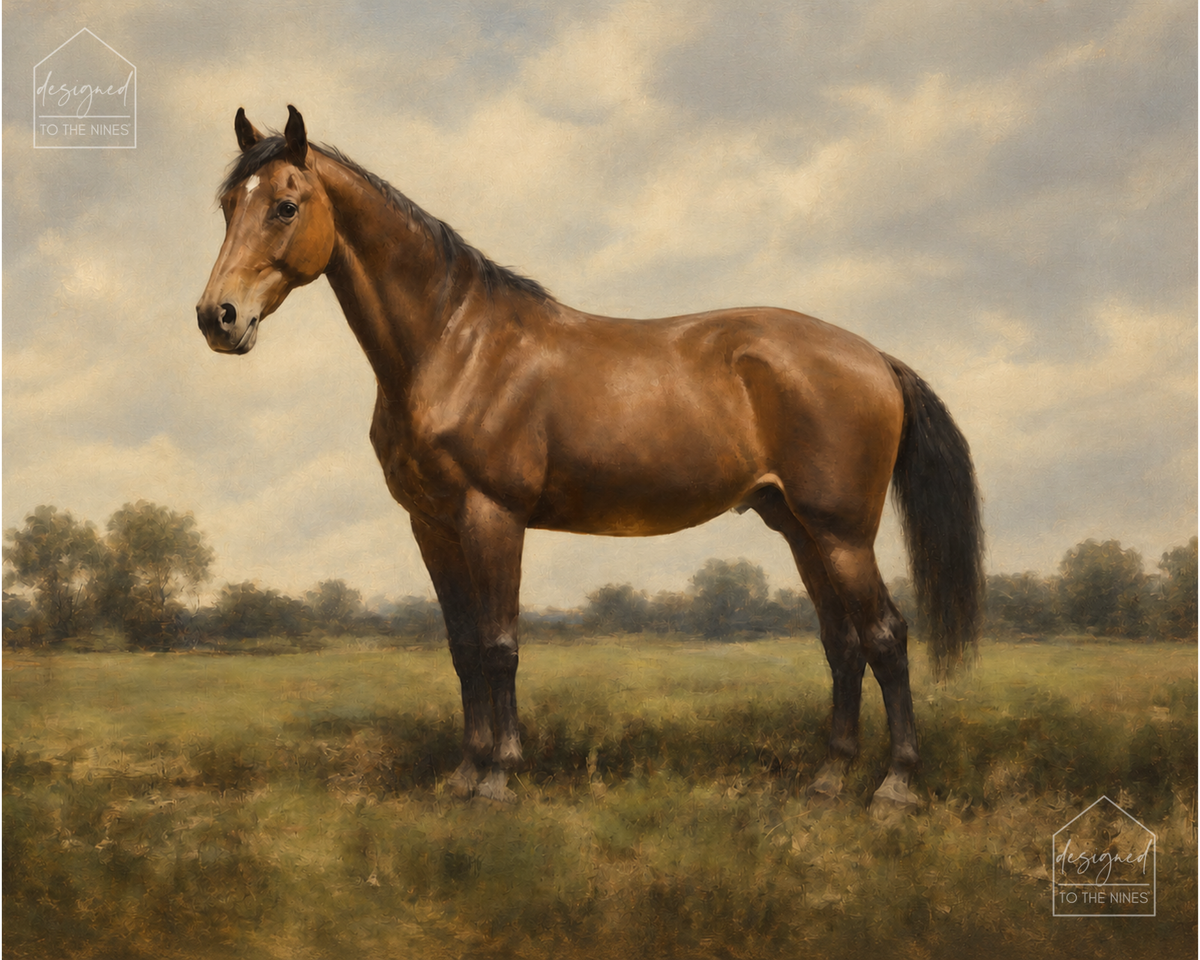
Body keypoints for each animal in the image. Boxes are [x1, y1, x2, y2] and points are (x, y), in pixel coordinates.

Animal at [197, 106, 983, 814]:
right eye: (227, 205)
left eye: (286, 206)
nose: (218, 318)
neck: (454, 346)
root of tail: (873, 357)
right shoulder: (433, 526)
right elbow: (461, 647)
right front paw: (463, 774)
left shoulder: (492, 518)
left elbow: (499, 645)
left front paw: (499, 777)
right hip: (798, 528)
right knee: (842, 644)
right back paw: (827, 781)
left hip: (843, 532)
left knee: (885, 638)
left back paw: (895, 788)